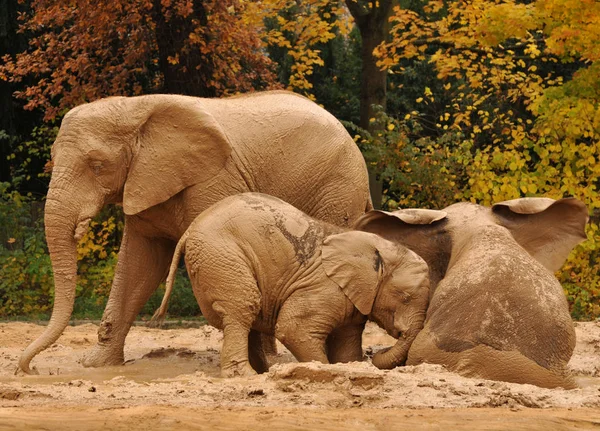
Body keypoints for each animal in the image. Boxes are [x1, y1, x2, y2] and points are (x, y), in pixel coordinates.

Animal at [18, 90, 372, 374]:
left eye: (97, 165)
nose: (30, 369)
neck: (136, 108)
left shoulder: (213, 180)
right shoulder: (145, 181)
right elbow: (140, 264)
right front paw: (96, 366)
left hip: (338, 187)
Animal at [152, 194, 428, 376]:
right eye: (404, 296)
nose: (374, 354)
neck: (379, 247)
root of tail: (188, 232)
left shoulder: (354, 297)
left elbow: (346, 344)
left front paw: (350, 366)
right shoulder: (324, 286)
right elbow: (293, 328)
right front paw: (322, 369)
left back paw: (263, 373)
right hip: (222, 258)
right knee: (241, 311)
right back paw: (247, 377)